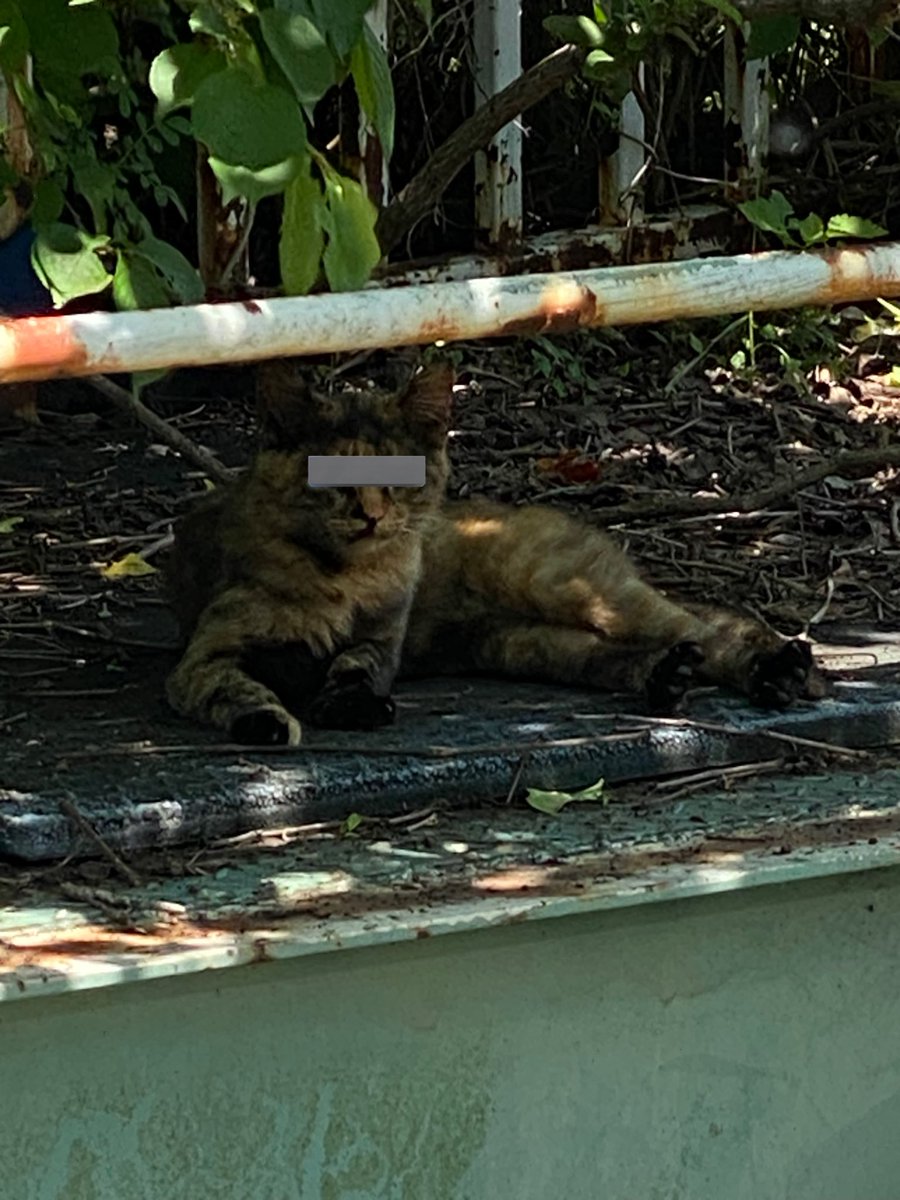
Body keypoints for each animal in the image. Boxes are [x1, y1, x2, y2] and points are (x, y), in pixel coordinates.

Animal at [165, 360, 830, 744]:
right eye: (330, 475)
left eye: (398, 475)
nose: (372, 514)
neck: (342, 576)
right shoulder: (206, 653)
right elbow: (228, 687)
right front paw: (267, 718)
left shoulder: (381, 641)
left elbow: (357, 668)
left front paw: (350, 704)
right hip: (525, 642)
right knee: (625, 654)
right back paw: (669, 678)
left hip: (566, 589)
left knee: (702, 624)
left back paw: (782, 671)